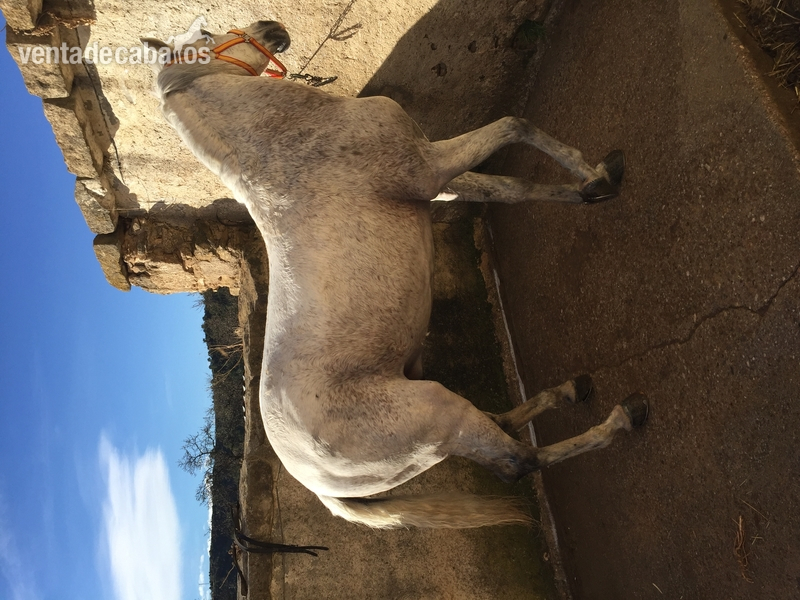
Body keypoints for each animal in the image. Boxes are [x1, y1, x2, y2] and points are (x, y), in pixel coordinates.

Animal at [143, 20, 648, 529]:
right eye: (207, 34)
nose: (273, 28)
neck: (285, 146)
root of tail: (320, 485)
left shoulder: (438, 182)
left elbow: (513, 188)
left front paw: (591, 186)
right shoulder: (430, 166)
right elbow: (514, 125)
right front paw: (600, 176)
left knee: (502, 427)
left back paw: (570, 390)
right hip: (439, 413)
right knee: (517, 462)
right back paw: (623, 416)